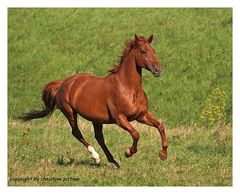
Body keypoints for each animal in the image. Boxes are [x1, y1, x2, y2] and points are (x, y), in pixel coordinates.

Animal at [19, 34, 168, 168]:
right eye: (143, 51)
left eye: (154, 51)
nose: (158, 70)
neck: (128, 88)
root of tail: (62, 83)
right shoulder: (120, 118)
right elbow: (136, 134)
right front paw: (128, 152)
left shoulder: (141, 116)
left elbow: (160, 126)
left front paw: (163, 154)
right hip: (70, 112)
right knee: (76, 133)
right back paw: (96, 157)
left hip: (96, 119)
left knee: (99, 138)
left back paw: (114, 162)